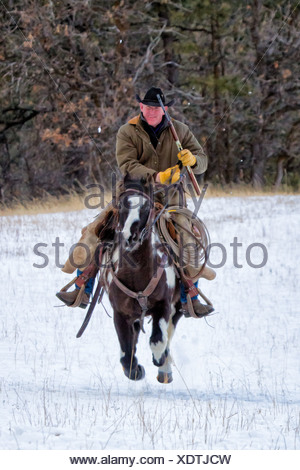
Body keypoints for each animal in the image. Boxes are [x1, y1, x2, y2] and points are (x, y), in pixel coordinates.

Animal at [102, 174, 183, 384]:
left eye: (146, 207)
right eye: (121, 204)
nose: (129, 236)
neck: (136, 273)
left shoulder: (164, 305)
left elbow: (158, 341)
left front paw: (161, 361)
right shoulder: (120, 313)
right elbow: (126, 353)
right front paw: (136, 370)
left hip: (177, 307)